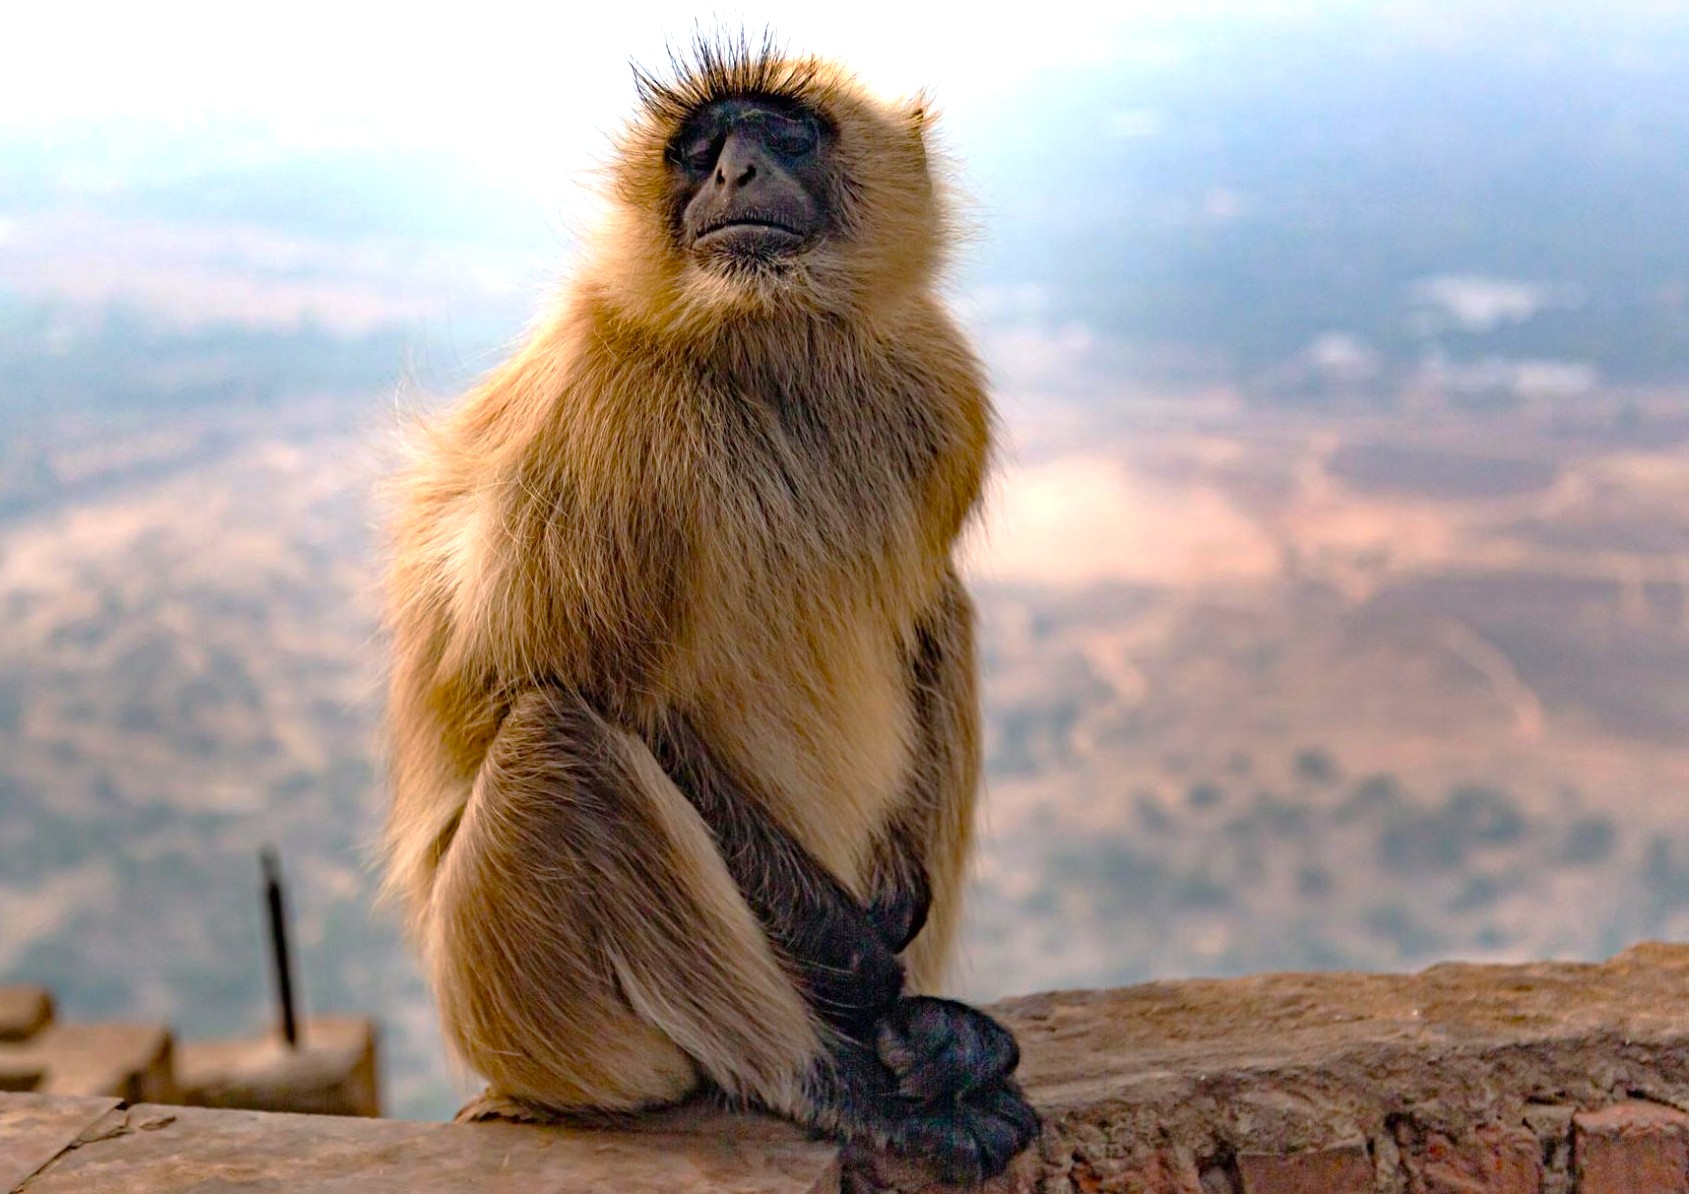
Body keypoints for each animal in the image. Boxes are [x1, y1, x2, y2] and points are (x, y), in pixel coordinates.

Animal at [381, 36, 1039, 1185]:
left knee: (946, 612)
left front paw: (896, 939)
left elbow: (920, 610)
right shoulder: (605, 407)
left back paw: (937, 1042)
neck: (767, 348)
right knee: (561, 745)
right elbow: (570, 682)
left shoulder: (941, 382)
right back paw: (839, 1078)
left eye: (783, 133)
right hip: (526, 1015)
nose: (733, 171)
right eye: (698, 150)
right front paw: (856, 960)